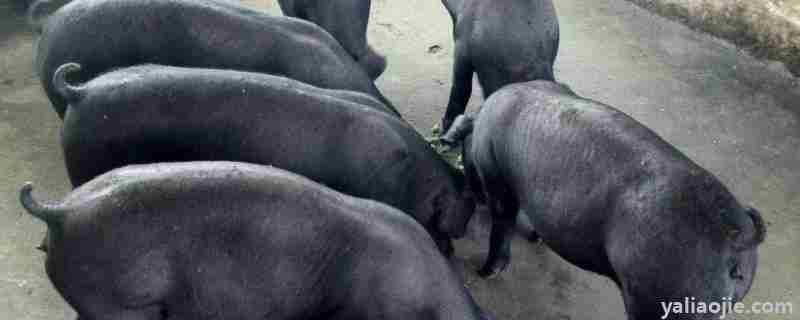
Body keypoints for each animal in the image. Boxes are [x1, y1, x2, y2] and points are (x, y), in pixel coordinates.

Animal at [444, 80, 764, 320]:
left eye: (465, 157)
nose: (471, 190)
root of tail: (735, 236)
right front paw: (535, 238)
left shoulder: (495, 178)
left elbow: (502, 225)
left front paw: (483, 272)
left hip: (664, 297)